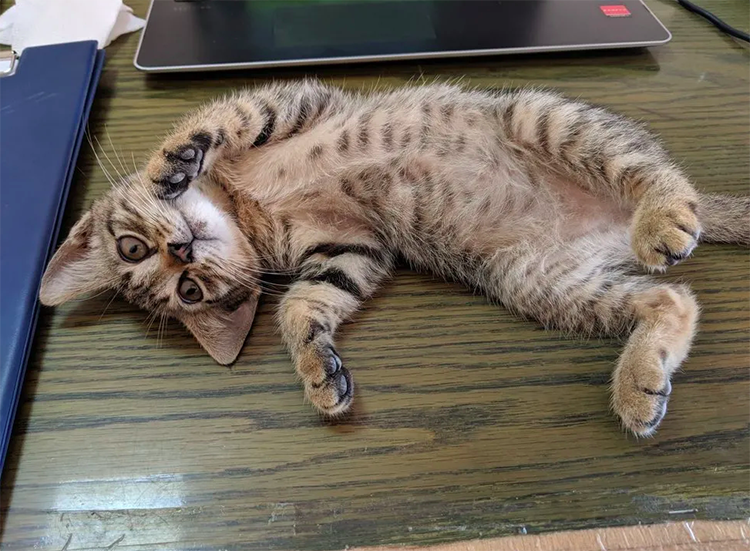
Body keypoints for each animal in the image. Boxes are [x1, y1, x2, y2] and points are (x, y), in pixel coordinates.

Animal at [38, 80, 750, 436]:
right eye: (190, 293)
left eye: (133, 248)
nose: (183, 251)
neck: (243, 208)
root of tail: (617, 225)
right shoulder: (353, 248)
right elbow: (302, 303)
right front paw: (319, 372)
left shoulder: (292, 100)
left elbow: (213, 119)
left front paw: (171, 163)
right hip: (542, 282)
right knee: (673, 299)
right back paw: (639, 383)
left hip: (545, 117)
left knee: (659, 175)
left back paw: (662, 217)